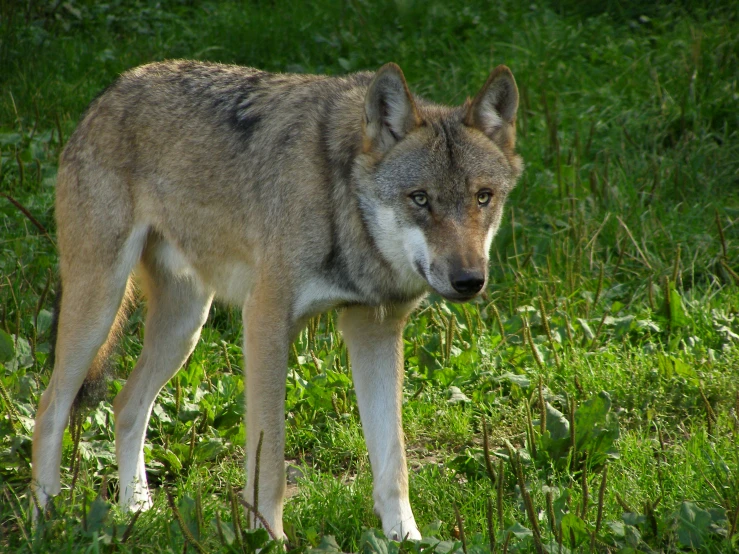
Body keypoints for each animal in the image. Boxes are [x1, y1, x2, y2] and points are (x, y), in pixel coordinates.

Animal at [31, 60, 524, 540]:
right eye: (420, 199)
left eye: (483, 197)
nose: (469, 281)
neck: (342, 203)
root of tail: (111, 89)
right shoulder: (265, 322)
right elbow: (269, 465)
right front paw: (268, 539)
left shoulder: (374, 330)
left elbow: (392, 462)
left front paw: (407, 539)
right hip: (100, 309)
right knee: (50, 408)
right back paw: (45, 520)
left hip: (184, 328)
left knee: (125, 407)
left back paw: (136, 509)